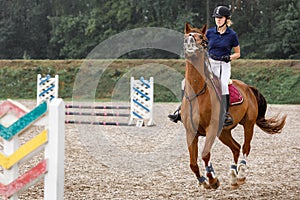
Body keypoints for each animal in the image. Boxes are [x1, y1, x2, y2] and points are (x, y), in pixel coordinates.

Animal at [182, 23, 288, 189]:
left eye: (203, 39)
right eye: (187, 36)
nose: (190, 43)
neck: (196, 94)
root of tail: (248, 87)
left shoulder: (211, 128)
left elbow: (205, 154)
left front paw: (212, 180)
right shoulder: (191, 131)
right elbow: (193, 163)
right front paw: (204, 181)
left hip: (248, 124)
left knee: (245, 147)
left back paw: (241, 175)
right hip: (224, 132)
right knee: (236, 147)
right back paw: (233, 176)